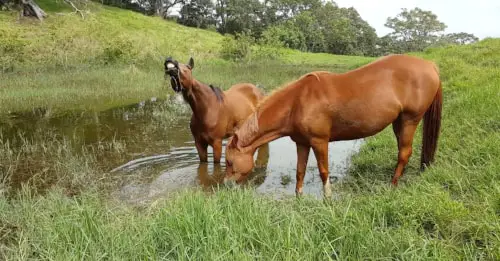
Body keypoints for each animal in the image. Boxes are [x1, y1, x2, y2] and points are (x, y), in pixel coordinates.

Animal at [225, 54, 444, 197]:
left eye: (228, 162)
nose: (226, 185)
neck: (297, 102)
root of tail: (430, 65)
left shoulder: (320, 141)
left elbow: (324, 172)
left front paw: (328, 198)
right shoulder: (301, 143)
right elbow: (300, 172)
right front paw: (298, 197)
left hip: (410, 120)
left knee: (404, 152)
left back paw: (392, 185)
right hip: (398, 122)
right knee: (403, 151)